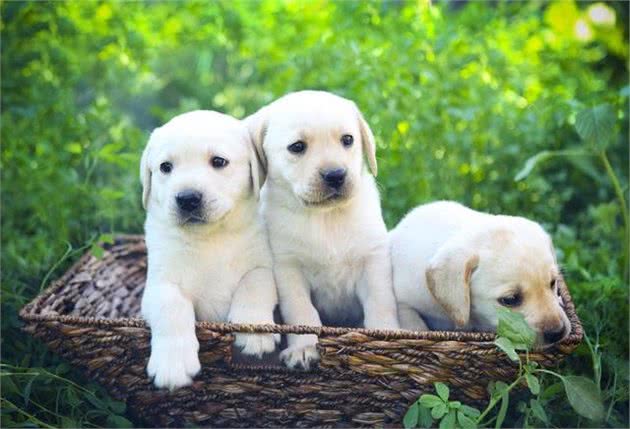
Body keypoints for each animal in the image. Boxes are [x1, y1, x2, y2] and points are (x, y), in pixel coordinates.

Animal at [140, 110, 279, 389]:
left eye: (218, 161)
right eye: (165, 167)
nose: (187, 198)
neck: (210, 237)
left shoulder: (262, 264)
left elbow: (254, 285)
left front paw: (255, 333)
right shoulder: (158, 284)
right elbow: (170, 305)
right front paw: (173, 363)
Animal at [245, 90, 400, 370]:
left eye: (347, 140)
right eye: (297, 147)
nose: (336, 175)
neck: (325, 219)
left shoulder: (373, 261)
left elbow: (381, 303)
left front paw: (387, 337)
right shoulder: (288, 269)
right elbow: (302, 312)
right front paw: (304, 348)